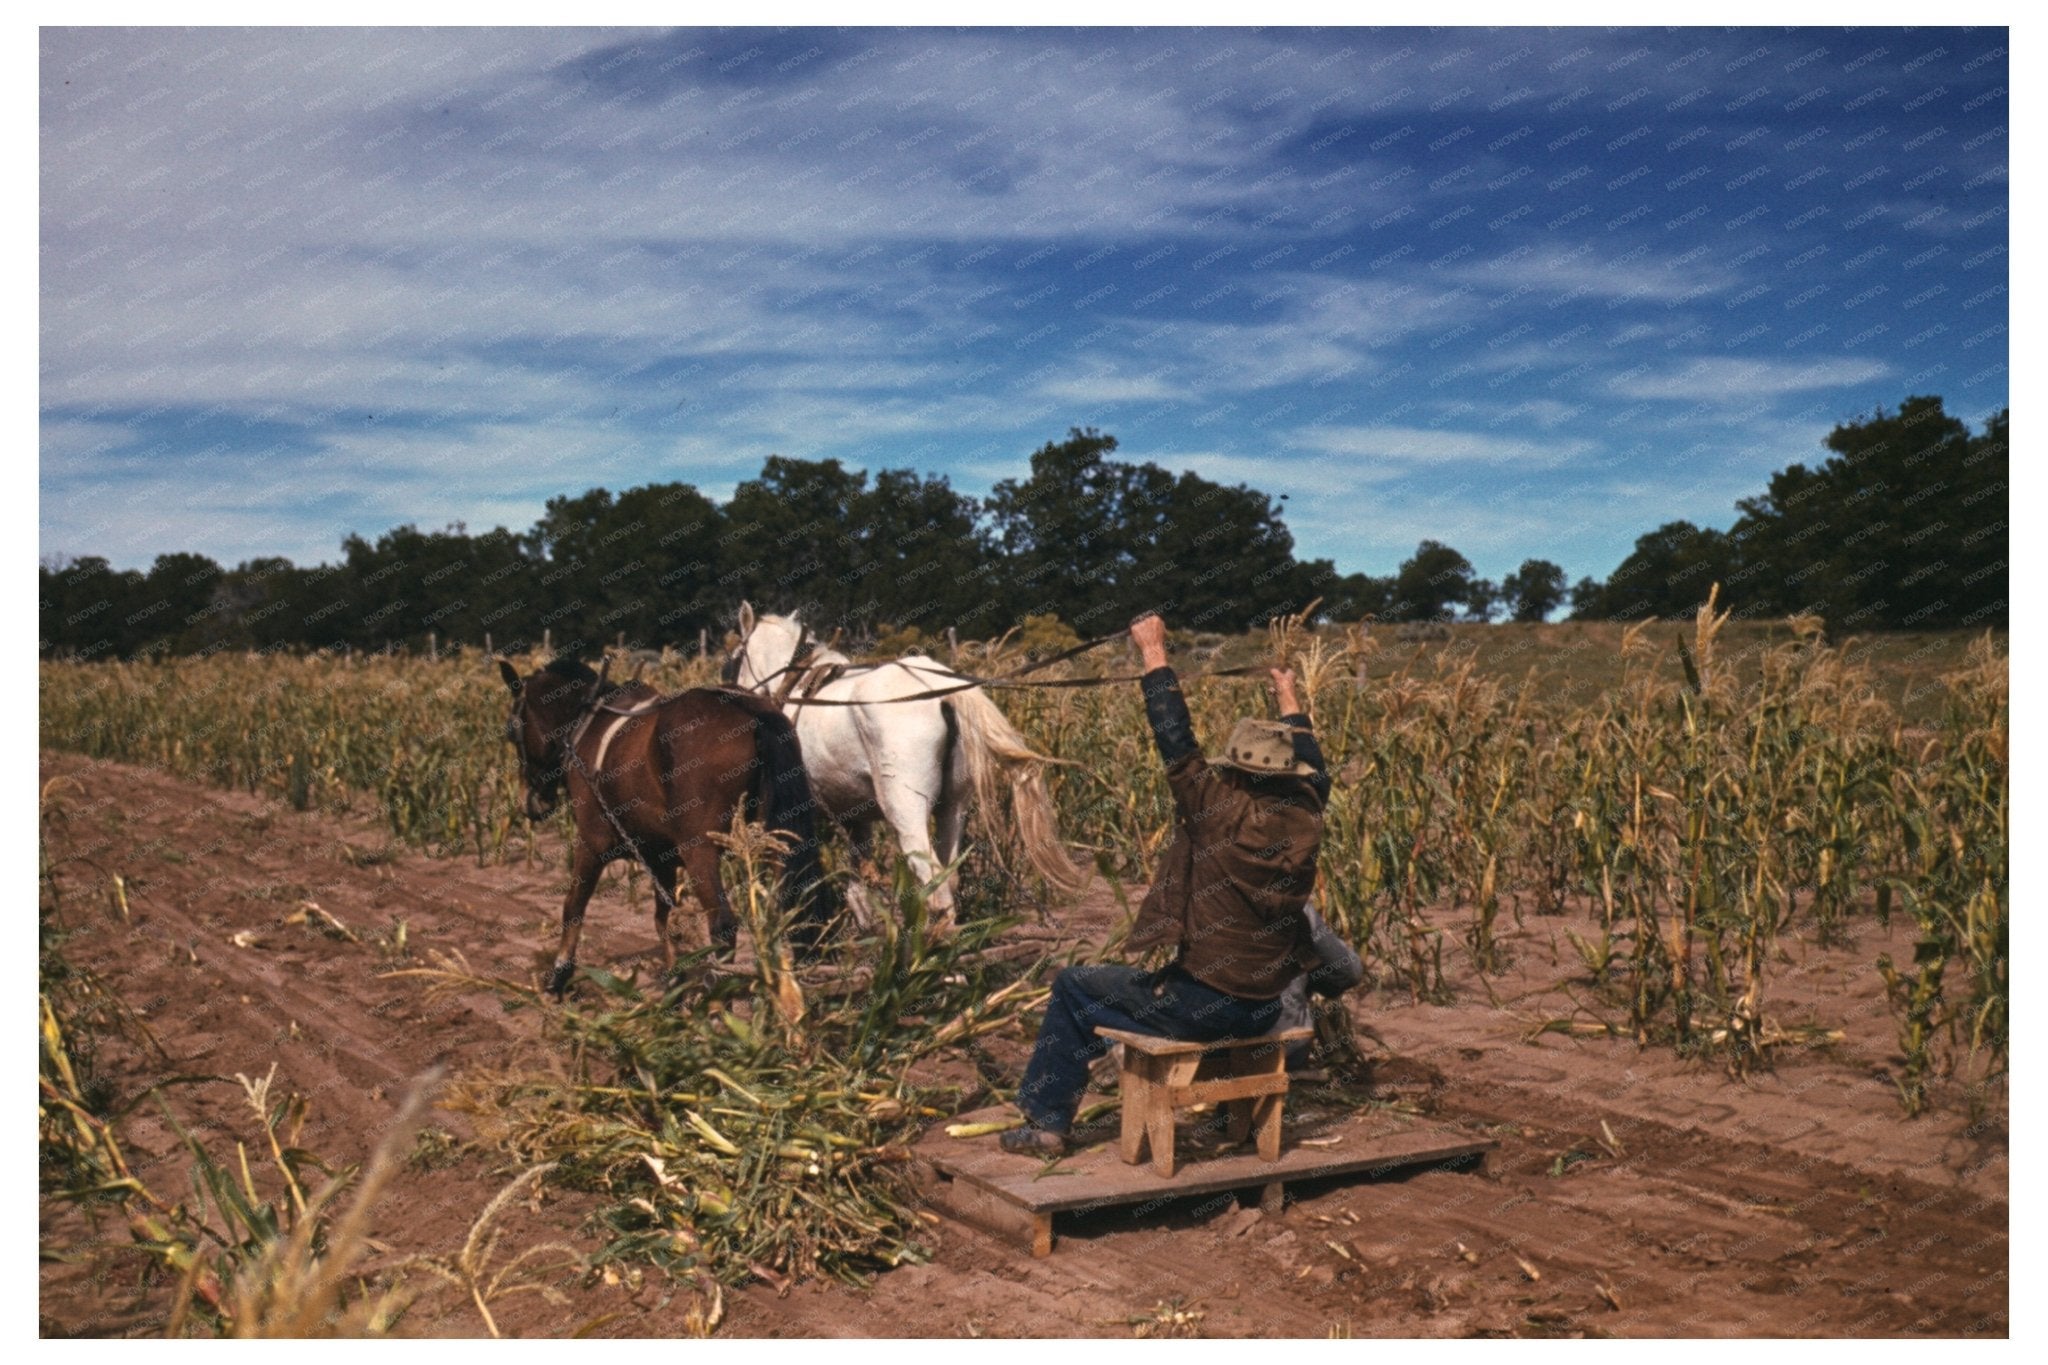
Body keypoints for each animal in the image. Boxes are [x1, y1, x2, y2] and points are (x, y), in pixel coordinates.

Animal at [495, 654, 831, 998]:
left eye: (511, 729)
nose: (529, 802)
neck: (586, 723)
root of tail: (751, 713)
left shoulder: (591, 843)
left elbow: (574, 905)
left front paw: (559, 974)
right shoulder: (661, 858)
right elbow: (662, 917)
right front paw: (673, 979)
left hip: (700, 851)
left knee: (723, 924)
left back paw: (716, 994)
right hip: (774, 843)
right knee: (790, 911)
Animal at [729, 601, 1097, 925]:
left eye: (738, 656)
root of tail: (942, 687)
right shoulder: (853, 816)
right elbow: (857, 879)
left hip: (906, 813)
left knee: (934, 882)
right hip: (954, 808)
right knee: (948, 875)